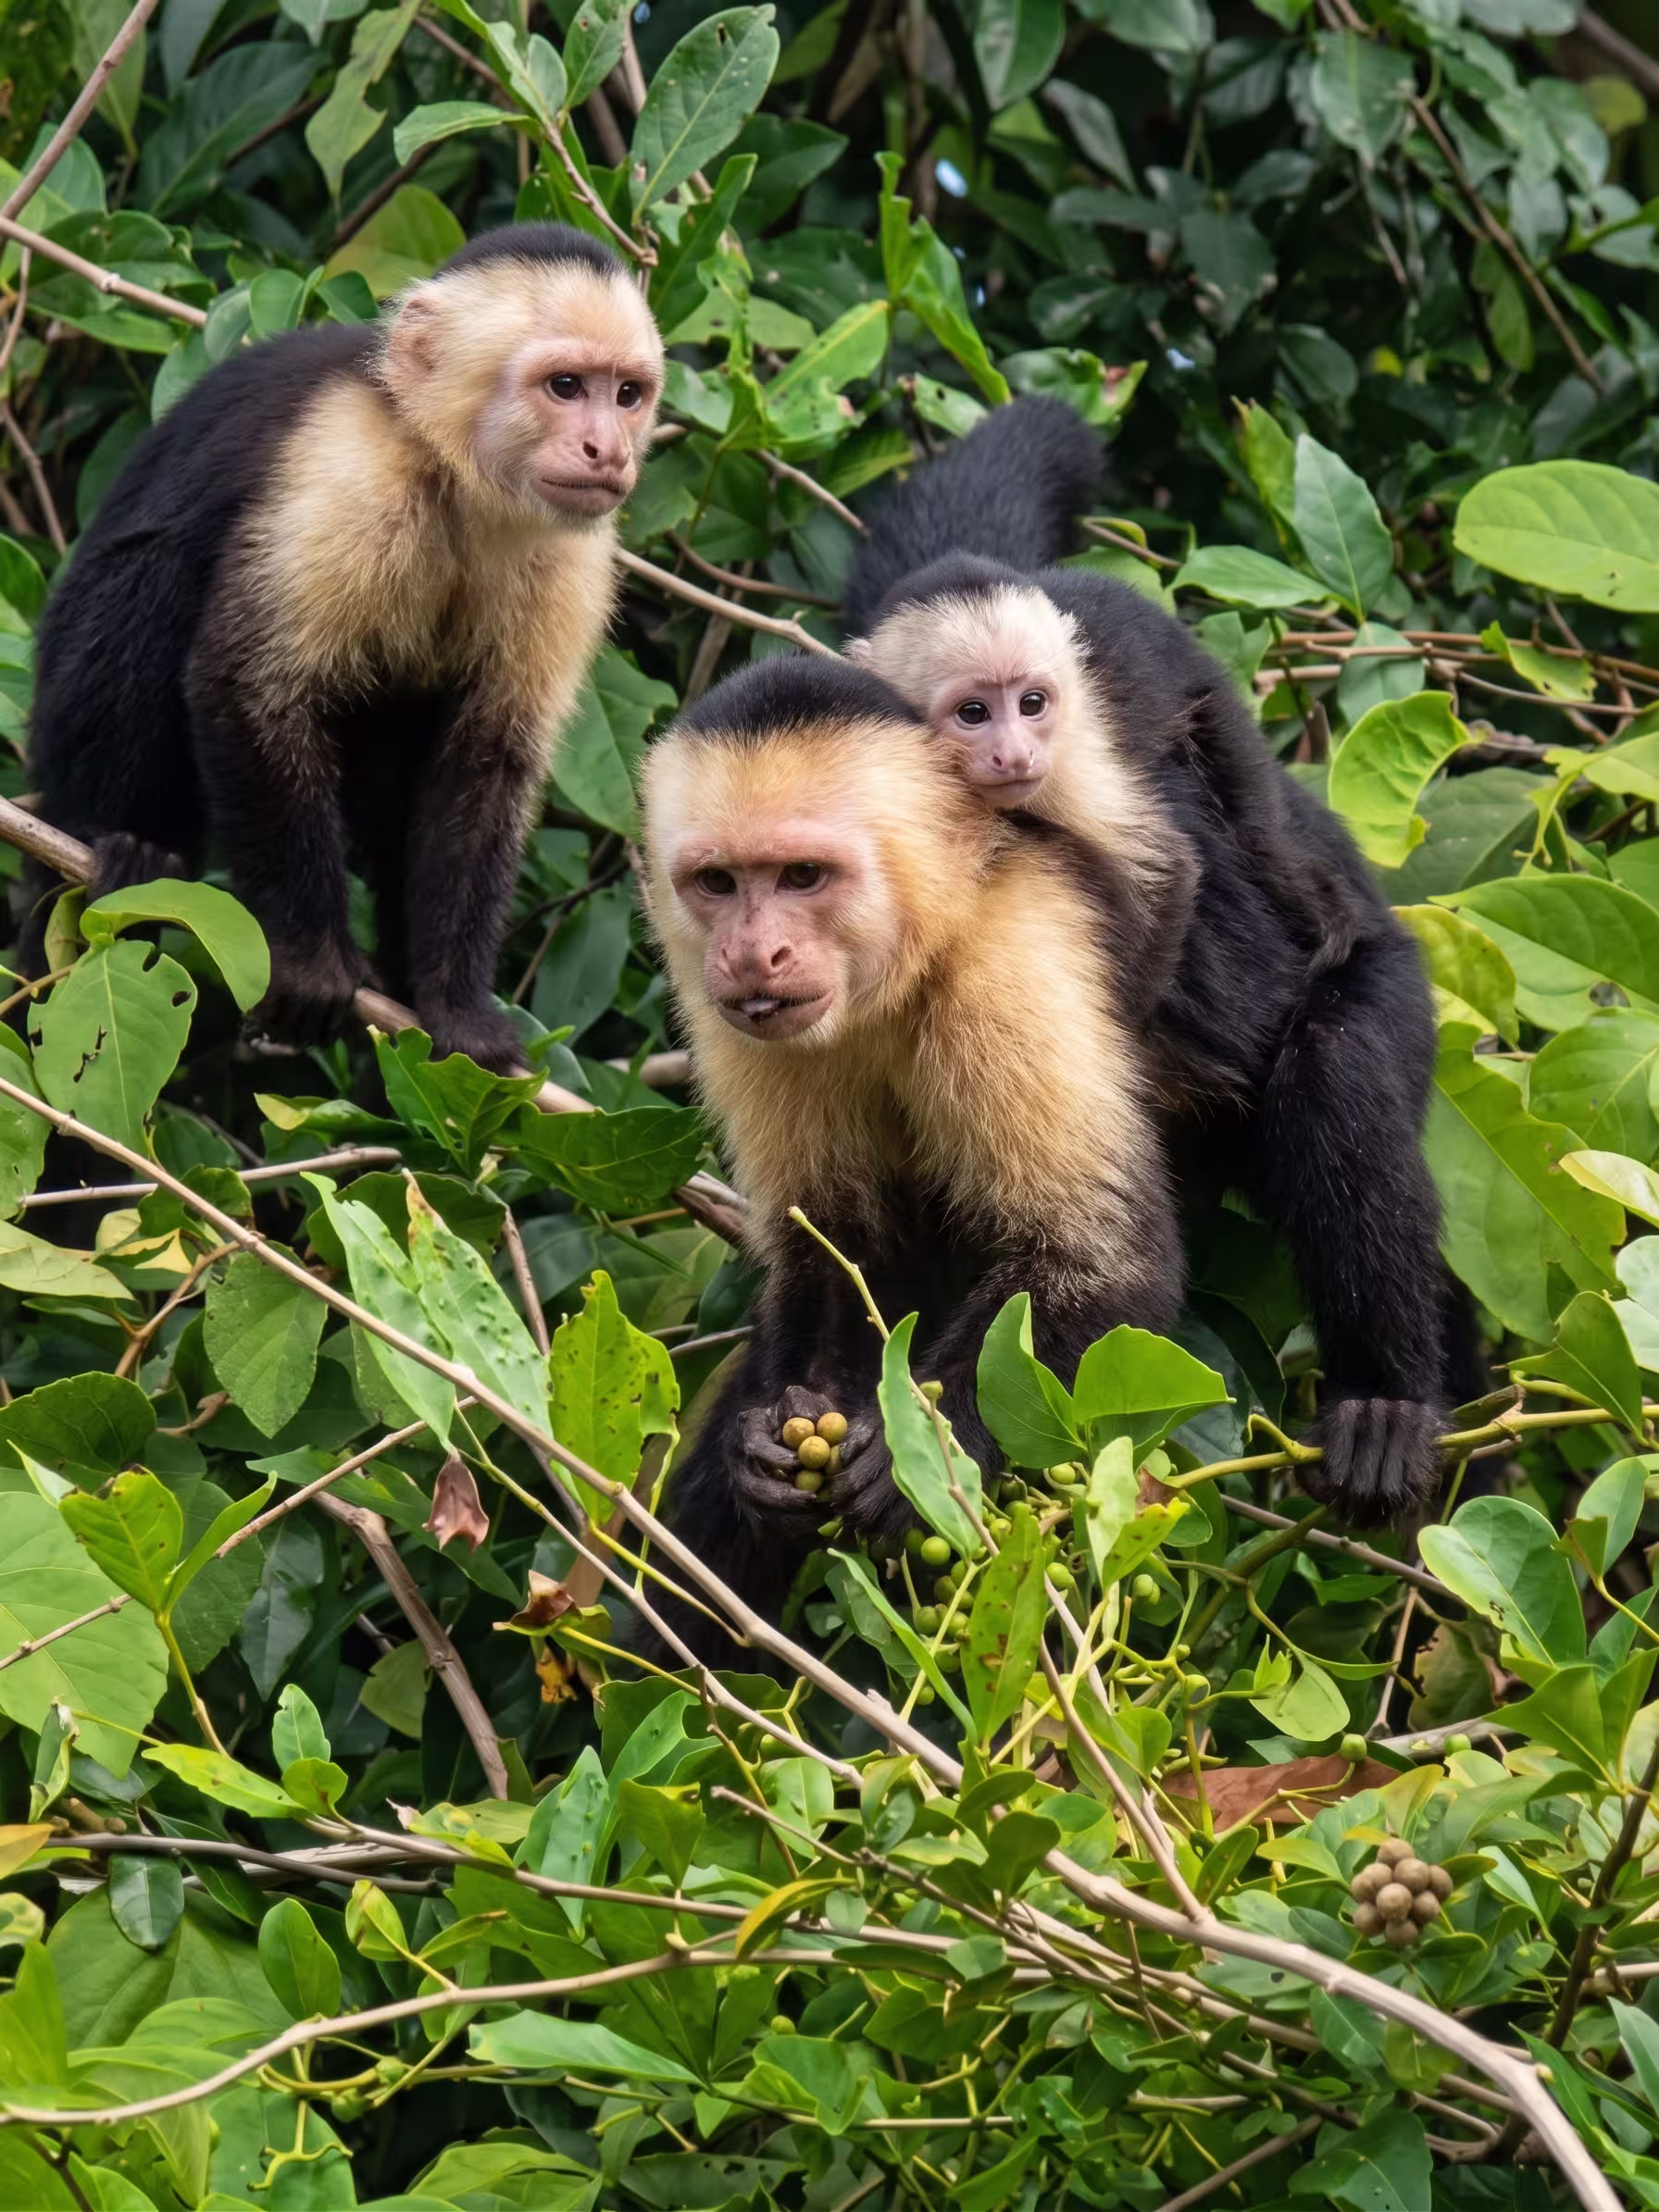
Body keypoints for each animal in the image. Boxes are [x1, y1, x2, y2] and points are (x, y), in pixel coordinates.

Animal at [22, 222, 663, 1074]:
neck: (453, 473)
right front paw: (312, 961)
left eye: (627, 395)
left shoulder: (573, 553)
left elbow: (486, 762)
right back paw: (122, 850)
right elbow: (247, 688)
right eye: (564, 386)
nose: (607, 449)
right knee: (151, 578)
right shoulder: (351, 470)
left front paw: (456, 1010)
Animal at [637, 654, 1184, 1645]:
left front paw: (917, 1450)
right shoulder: (737, 1022)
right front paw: (765, 1446)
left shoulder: (1012, 960)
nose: (754, 954)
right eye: (719, 883)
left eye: (803, 875)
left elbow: (1098, 1255)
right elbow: (837, 1251)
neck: (902, 968)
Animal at [842, 397, 1463, 1524]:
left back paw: (1387, 1400)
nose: (1012, 752)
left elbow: (1159, 884)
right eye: (970, 711)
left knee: (1335, 1053)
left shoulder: (1081, 771)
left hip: (1388, 974)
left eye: (1028, 705)